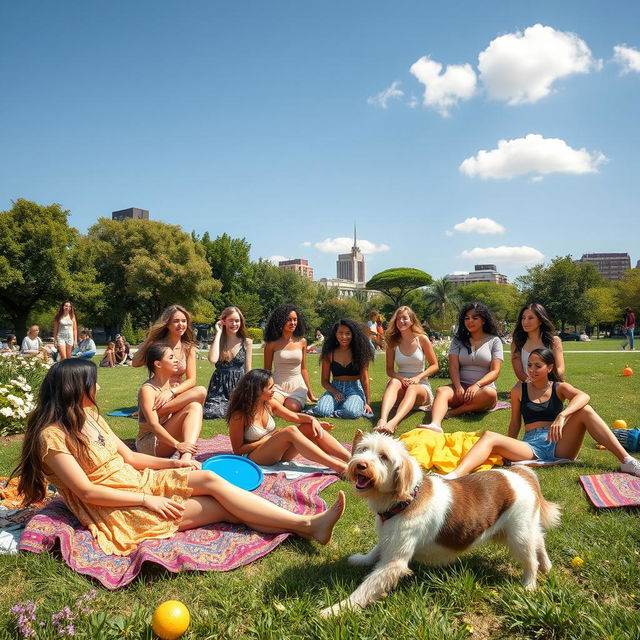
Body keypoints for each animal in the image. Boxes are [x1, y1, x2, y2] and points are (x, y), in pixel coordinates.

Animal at [320, 432, 560, 616]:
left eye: (384, 457)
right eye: (362, 450)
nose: (360, 465)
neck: (406, 500)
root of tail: (521, 474)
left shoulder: (394, 563)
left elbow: (365, 588)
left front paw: (335, 610)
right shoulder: (390, 537)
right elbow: (376, 549)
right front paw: (362, 559)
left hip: (518, 535)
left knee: (530, 560)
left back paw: (529, 585)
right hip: (520, 528)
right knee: (539, 540)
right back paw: (547, 565)